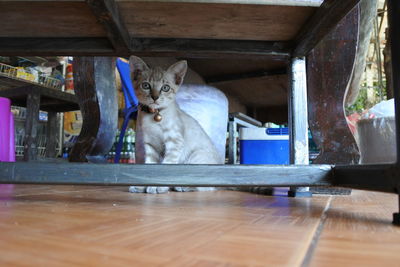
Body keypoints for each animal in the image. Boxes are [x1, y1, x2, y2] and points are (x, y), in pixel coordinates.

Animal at [128, 56, 222, 195]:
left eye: (165, 88)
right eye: (146, 85)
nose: (155, 97)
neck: (154, 116)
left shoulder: (174, 141)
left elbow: (167, 165)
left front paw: (158, 187)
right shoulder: (150, 145)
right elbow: (150, 166)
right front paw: (142, 186)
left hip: (195, 158)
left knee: (207, 187)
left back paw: (181, 186)